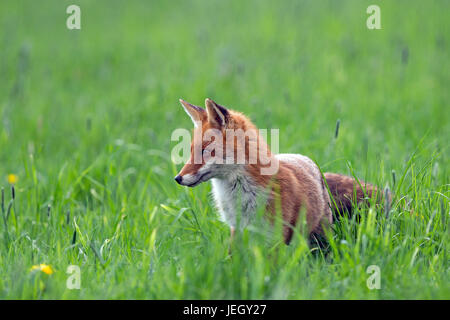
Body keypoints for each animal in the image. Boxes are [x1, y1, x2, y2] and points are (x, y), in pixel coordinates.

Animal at [174, 99, 384, 244]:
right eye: (191, 151)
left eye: (204, 151)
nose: (177, 178)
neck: (241, 195)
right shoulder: (237, 229)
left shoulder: (275, 234)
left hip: (319, 235)